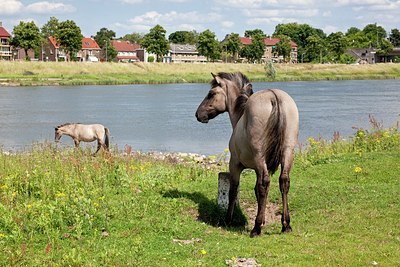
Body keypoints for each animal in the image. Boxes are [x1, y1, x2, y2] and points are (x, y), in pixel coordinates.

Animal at [195, 72, 298, 238]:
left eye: (211, 94)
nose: (198, 114)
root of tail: (273, 96)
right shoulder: (257, 168)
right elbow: (257, 191)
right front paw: (263, 219)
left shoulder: (235, 164)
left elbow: (233, 190)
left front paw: (228, 219)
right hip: (288, 152)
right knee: (283, 181)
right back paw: (285, 225)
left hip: (259, 155)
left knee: (265, 184)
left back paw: (256, 229)